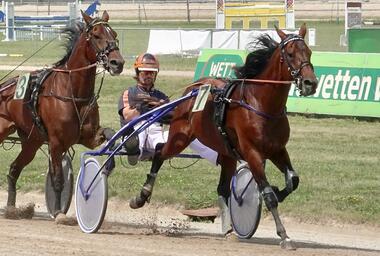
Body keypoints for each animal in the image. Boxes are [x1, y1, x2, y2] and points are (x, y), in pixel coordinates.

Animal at [0, 11, 124, 220]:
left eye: (114, 34)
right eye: (96, 35)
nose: (118, 63)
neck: (73, 92)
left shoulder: (89, 136)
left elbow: (108, 134)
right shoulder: (56, 142)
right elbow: (58, 179)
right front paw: (59, 213)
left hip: (32, 142)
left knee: (14, 169)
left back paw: (11, 208)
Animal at [130, 23, 318, 248]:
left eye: (309, 52)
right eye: (290, 54)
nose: (310, 82)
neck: (261, 105)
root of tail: (193, 88)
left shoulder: (278, 150)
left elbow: (293, 180)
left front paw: (279, 192)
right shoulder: (252, 152)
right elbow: (269, 195)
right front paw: (284, 235)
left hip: (227, 152)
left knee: (222, 188)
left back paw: (228, 229)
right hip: (180, 137)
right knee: (159, 153)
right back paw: (141, 196)